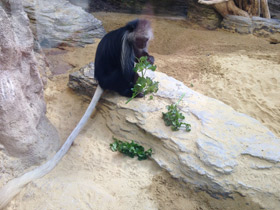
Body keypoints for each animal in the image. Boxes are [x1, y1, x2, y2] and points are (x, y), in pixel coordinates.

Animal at [0, 18, 154, 208]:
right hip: (113, 78)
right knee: (124, 72)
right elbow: (128, 68)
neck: (130, 36)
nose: (143, 45)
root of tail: (101, 81)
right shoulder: (125, 44)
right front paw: (138, 79)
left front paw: (149, 58)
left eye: (145, 40)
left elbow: (140, 58)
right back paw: (132, 91)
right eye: (140, 40)